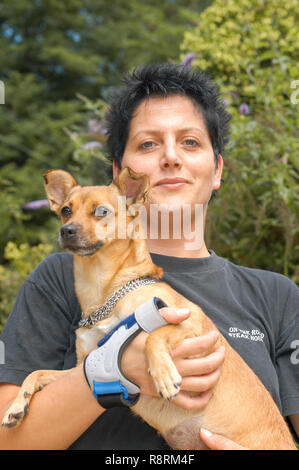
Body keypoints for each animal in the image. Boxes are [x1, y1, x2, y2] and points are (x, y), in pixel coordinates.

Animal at [2, 167, 296, 450]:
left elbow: (153, 336)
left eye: (101, 211)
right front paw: (17, 405)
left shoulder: (191, 323)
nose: (67, 230)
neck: (104, 292)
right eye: (65, 211)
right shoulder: (81, 368)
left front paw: (164, 375)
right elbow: (37, 372)